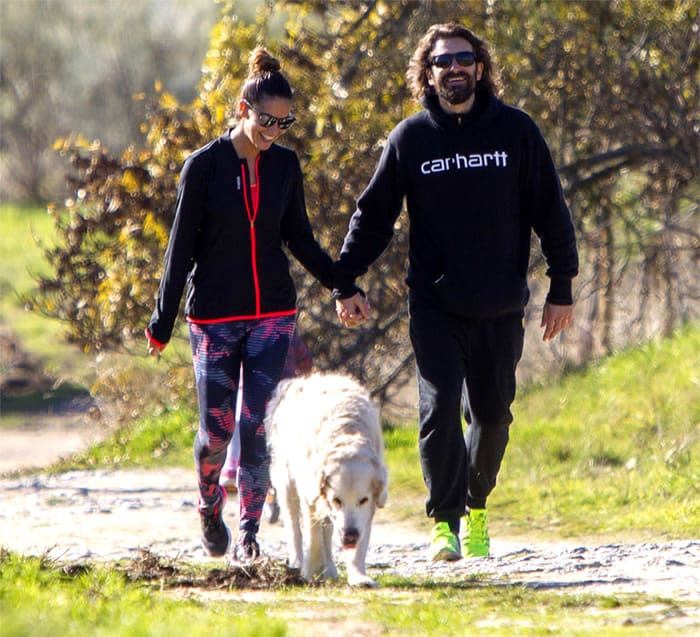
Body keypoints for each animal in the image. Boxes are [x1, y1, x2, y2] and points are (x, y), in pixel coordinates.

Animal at [266, 372, 388, 588]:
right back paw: (298, 564)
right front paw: (308, 573)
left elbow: (360, 542)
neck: (347, 432)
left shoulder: (369, 505)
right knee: (294, 528)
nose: (350, 536)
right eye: (337, 500)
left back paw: (329, 569)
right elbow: (313, 537)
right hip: (287, 483)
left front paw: (359, 576)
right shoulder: (311, 495)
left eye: (362, 500)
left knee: (328, 531)